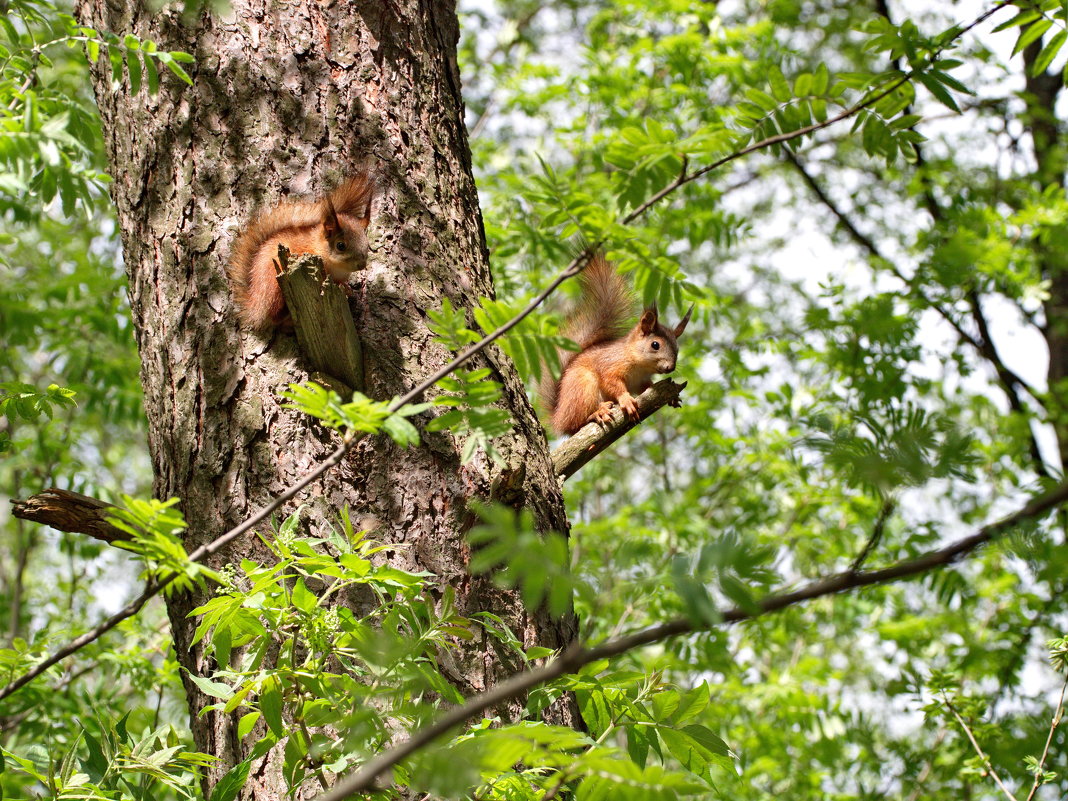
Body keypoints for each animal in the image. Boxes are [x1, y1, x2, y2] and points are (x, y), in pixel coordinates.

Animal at [226, 174, 375, 331]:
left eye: (367, 243)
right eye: (340, 245)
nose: (361, 265)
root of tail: (256, 306)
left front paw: (347, 289)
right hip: (273, 286)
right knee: (276, 316)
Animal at [542, 254, 692, 435]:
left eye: (677, 348)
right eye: (655, 345)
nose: (670, 367)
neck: (639, 364)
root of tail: (558, 417)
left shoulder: (640, 381)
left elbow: (646, 388)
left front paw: (671, 397)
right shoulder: (611, 364)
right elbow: (612, 382)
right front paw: (626, 399)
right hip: (583, 386)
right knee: (575, 423)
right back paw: (597, 412)